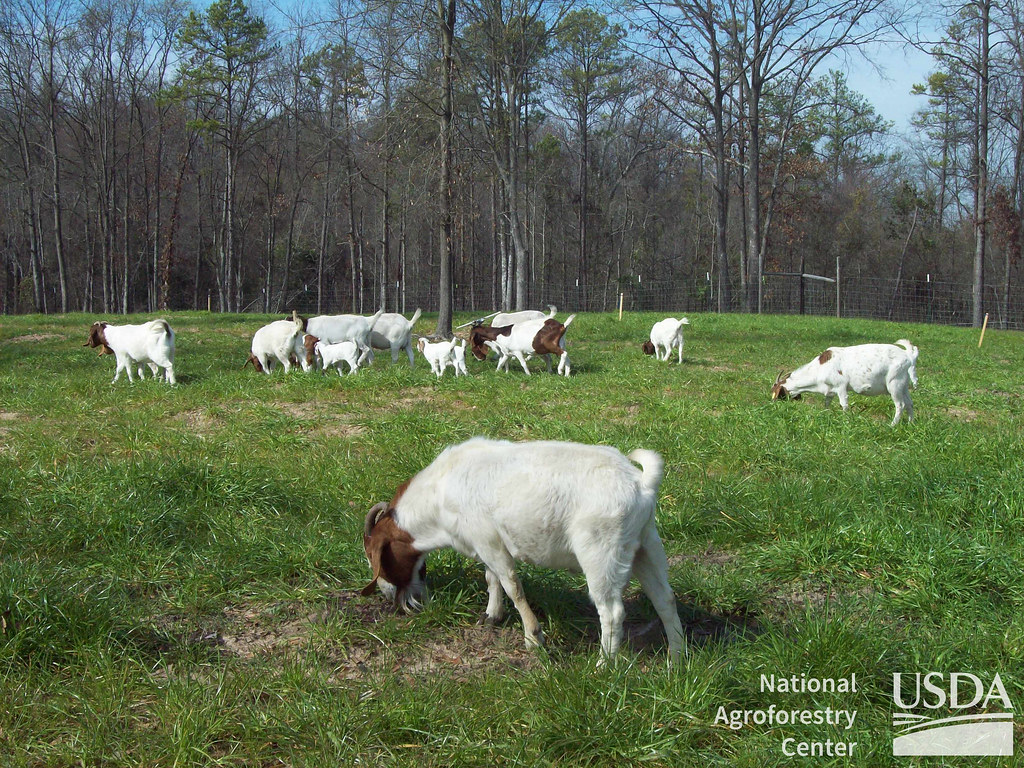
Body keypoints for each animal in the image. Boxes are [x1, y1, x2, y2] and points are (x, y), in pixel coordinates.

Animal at [364, 438, 684, 663]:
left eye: (374, 557)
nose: (388, 596)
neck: (439, 494)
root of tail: (640, 483)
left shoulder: (490, 542)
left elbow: (512, 585)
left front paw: (533, 637)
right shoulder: (486, 543)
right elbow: (492, 578)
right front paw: (492, 615)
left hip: (601, 552)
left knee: (612, 612)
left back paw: (603, 666)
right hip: (646, 545)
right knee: (665, 598)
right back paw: (677, 659)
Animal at [774, 342, 921, 428]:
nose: (774, 406)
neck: (819, 368)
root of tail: (908, 356)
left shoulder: (841, 387)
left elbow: (844, 405)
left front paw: (846, 422)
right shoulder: (830, 390)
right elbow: (826, 404)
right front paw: (827, 416)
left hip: (894, 383)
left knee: (900, 404)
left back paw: (892, 425)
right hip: (903, 385)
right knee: (910, 403)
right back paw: (911, 423)